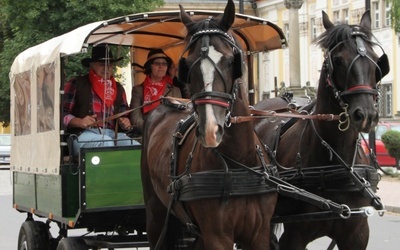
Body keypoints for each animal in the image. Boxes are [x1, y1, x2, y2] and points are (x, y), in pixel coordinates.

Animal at [141, 0, 278, 249]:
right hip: (155, 214)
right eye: (187, 65)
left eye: (232, 61)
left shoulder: (258, 234)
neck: (239, 163)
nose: (210, 130)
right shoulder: (217, 236)